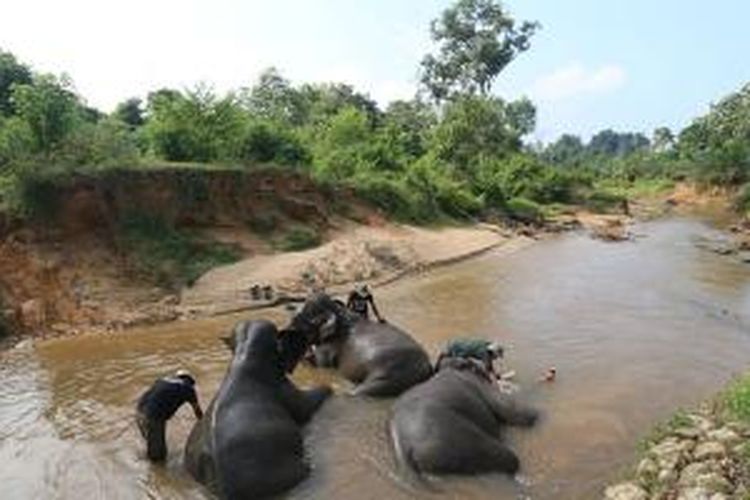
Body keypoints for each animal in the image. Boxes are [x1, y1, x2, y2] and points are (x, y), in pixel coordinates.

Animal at [184, 320, 332, 500]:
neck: (244, 353)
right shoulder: (282, 387)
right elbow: (306, 406)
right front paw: (330, 388)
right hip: (274, 474)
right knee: (305, 470)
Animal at [284, 292, 434, 394]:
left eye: (298, 318)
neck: (339, 312)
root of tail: (427, 369)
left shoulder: (328, 347)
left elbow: (320, 366)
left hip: (389, 377)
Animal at [388, 356, 540, 476]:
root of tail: (404, 448)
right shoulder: (482, 386)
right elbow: (512, 410)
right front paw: (536, 414)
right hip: (459, 441)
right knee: (509, 459)